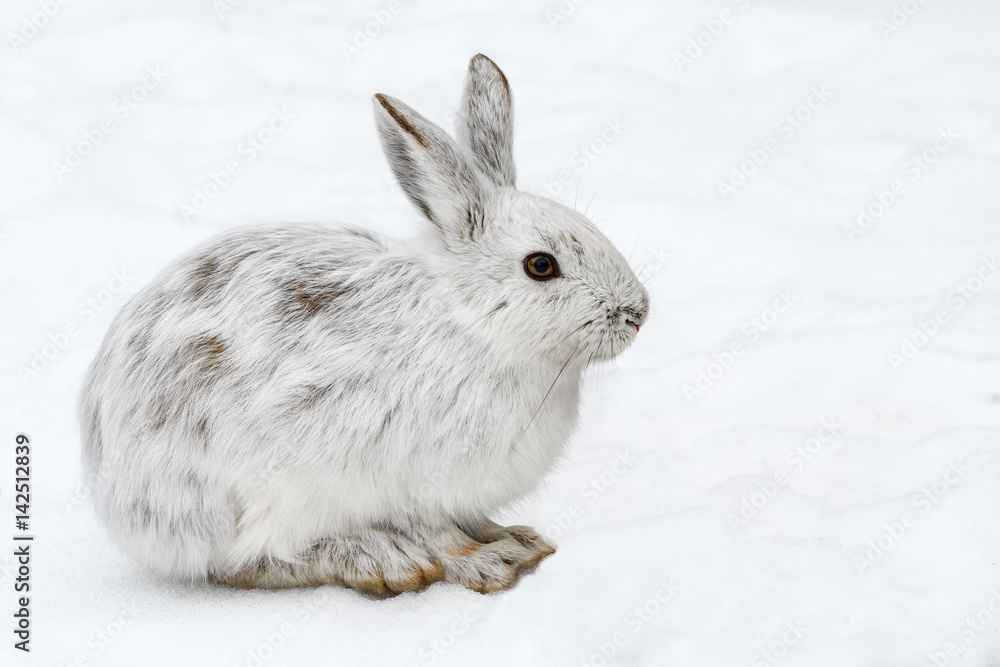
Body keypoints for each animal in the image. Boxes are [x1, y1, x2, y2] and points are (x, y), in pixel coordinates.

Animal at [79, 54, 649, 595]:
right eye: (541, 266)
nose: (637, 313)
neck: (473, 327)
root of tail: (110, 492)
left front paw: (520, 540)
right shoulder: (408, 481)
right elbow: (438, 534)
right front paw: (489, 564)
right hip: (257, 494)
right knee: (252, 562)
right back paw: (383, 562)